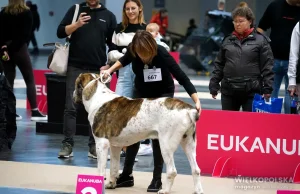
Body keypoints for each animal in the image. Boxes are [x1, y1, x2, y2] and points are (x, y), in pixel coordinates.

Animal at [73, 73, 204, 194]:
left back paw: (165, 190)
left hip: (166, 145)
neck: (96, 95)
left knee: (172, 171)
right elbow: (114, 167)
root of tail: (188, 109)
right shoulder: (115, 146)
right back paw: (198, 190)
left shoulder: (101, 143)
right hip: (189, 143)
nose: (73, 94)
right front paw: (111, 184)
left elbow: (100, 169)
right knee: (196, 169)